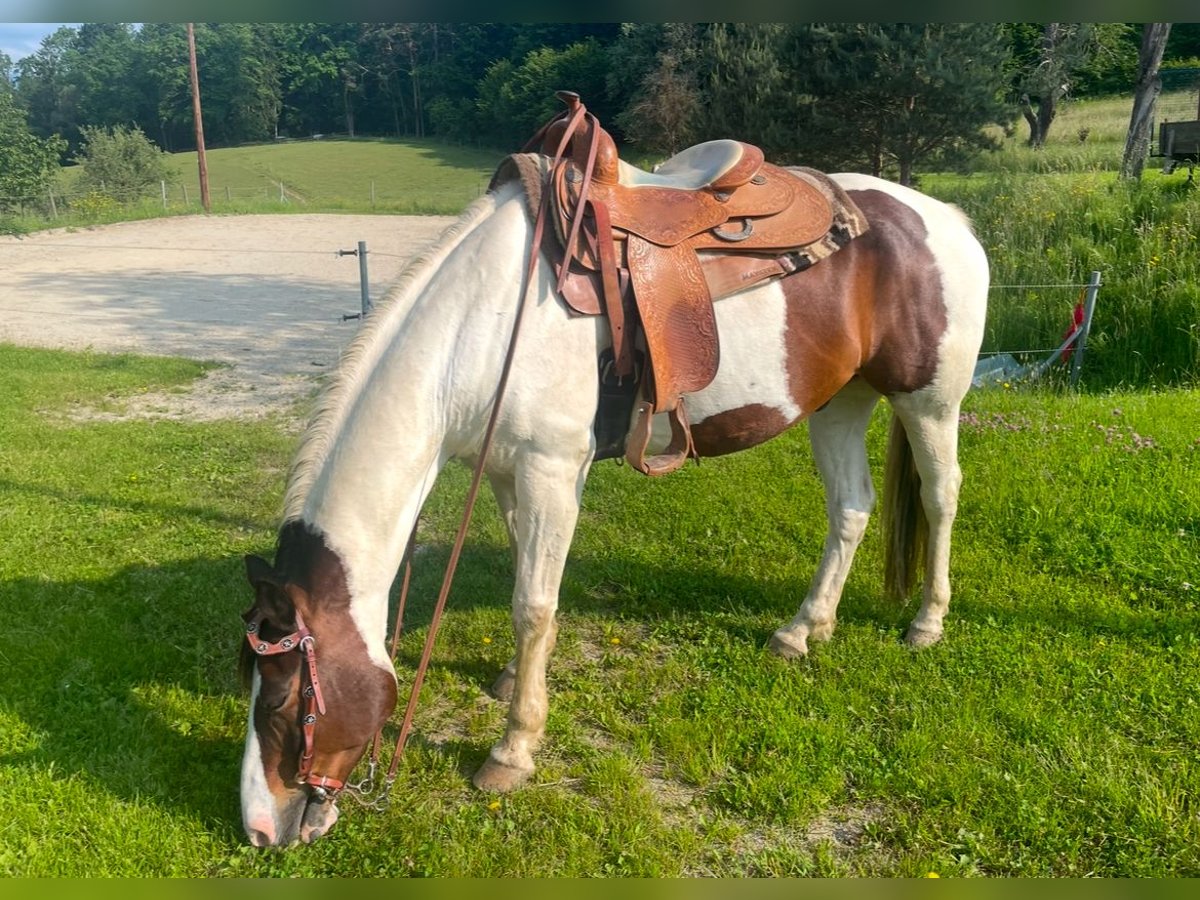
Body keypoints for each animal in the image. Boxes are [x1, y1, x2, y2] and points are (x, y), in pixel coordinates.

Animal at [238, 170, 988, 854]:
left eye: (285, 701)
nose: (259, 830)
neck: (481, 328)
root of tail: (948, 220)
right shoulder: (510, 470)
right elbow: (528, 577)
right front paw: (514, 682)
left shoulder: (550, 467)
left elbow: (532, 604)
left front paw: (513, 750)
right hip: (841, 400)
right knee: (851, 509)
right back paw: (804, 629)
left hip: (928, 402)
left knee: (941, 495)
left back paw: (927, 622)